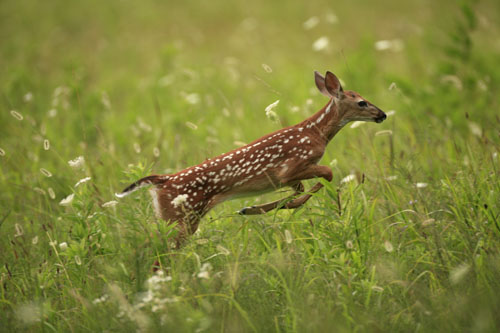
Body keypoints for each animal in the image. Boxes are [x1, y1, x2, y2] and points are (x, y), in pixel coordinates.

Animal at [117, 70, 386, 245]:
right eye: (362, 102)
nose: (382, 114)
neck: (316, 132)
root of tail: (162, 180)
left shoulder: (289, 179)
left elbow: (299, 191)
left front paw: (254, 208)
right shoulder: (291, 167)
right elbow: (327, 174)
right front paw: (258, 208)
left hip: (174, 218)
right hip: (181, 217)